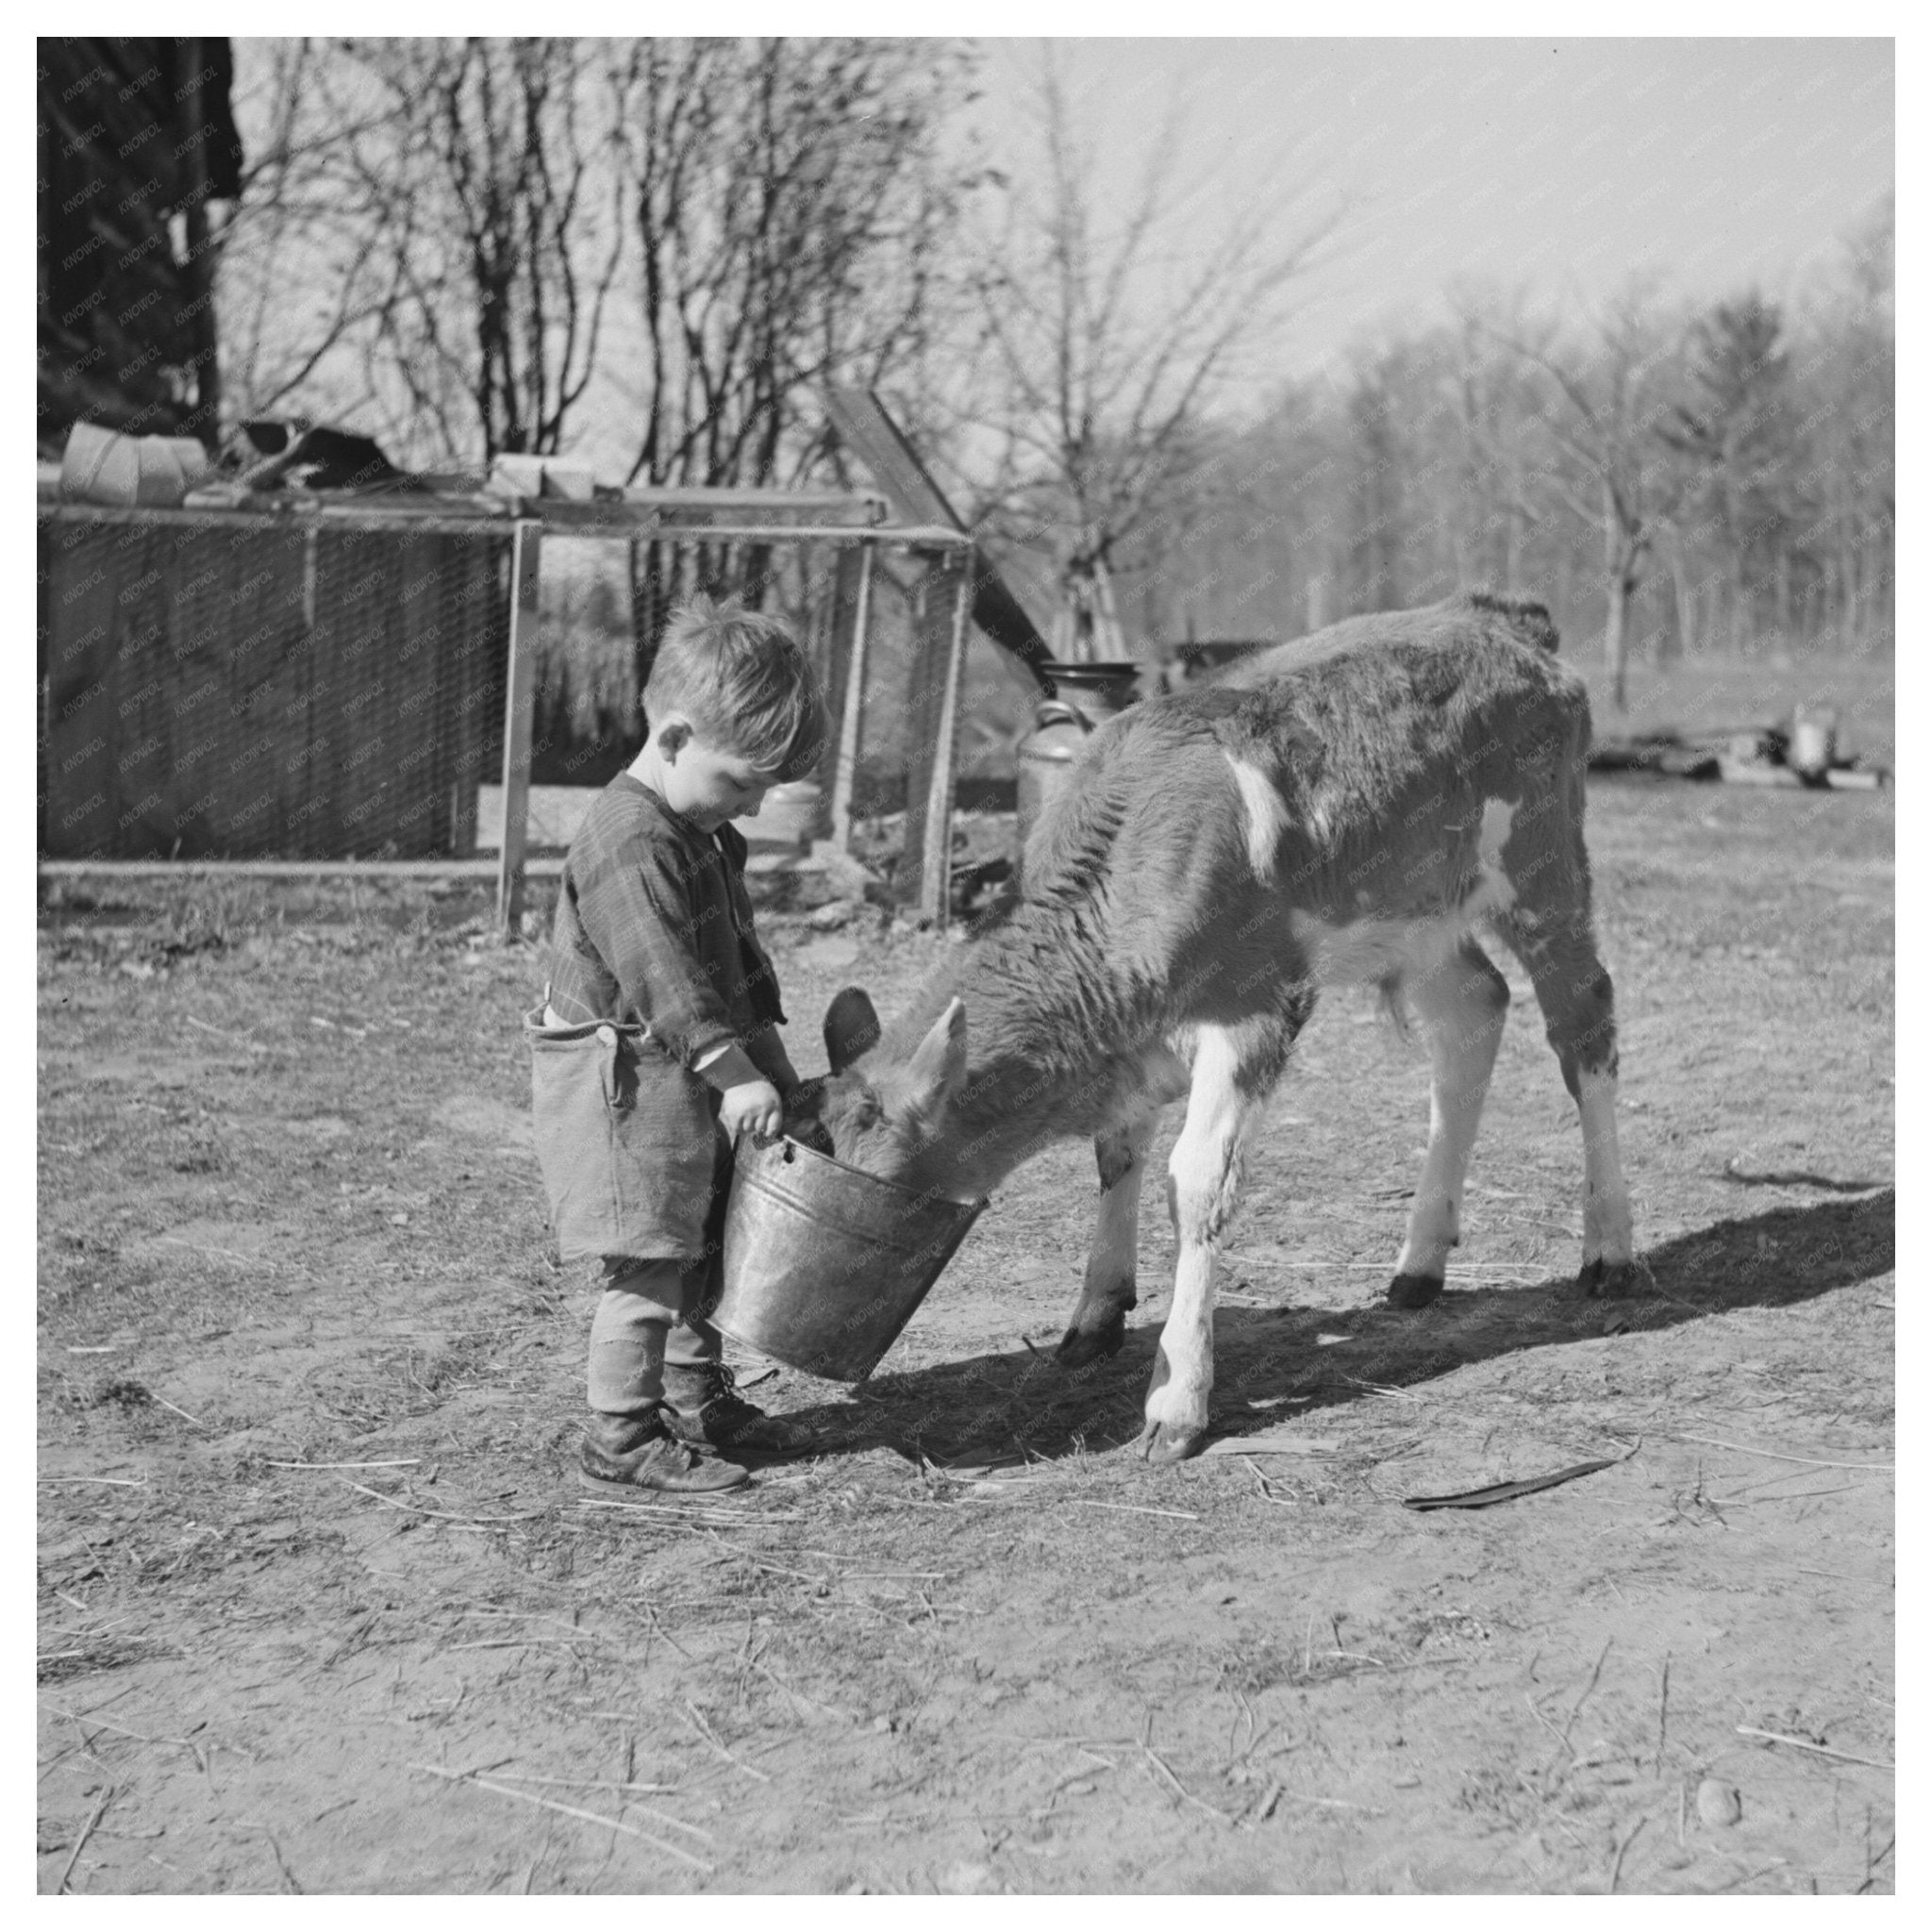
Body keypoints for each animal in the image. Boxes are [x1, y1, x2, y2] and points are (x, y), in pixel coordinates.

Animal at [808, 591, 1638, 1460]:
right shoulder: (1133, 1036)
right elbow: (1115, 1154)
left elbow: (1197, 1180)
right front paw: (1096, 1313)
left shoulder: (1253, 1009)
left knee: (1584, 1023)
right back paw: (1419, 1263)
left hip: (1542, 868)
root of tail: (1498, 617)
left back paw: (1608, 1248)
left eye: (885, 1189)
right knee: (1473, 1014)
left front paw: (1177, 1401)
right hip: (1416, 913)